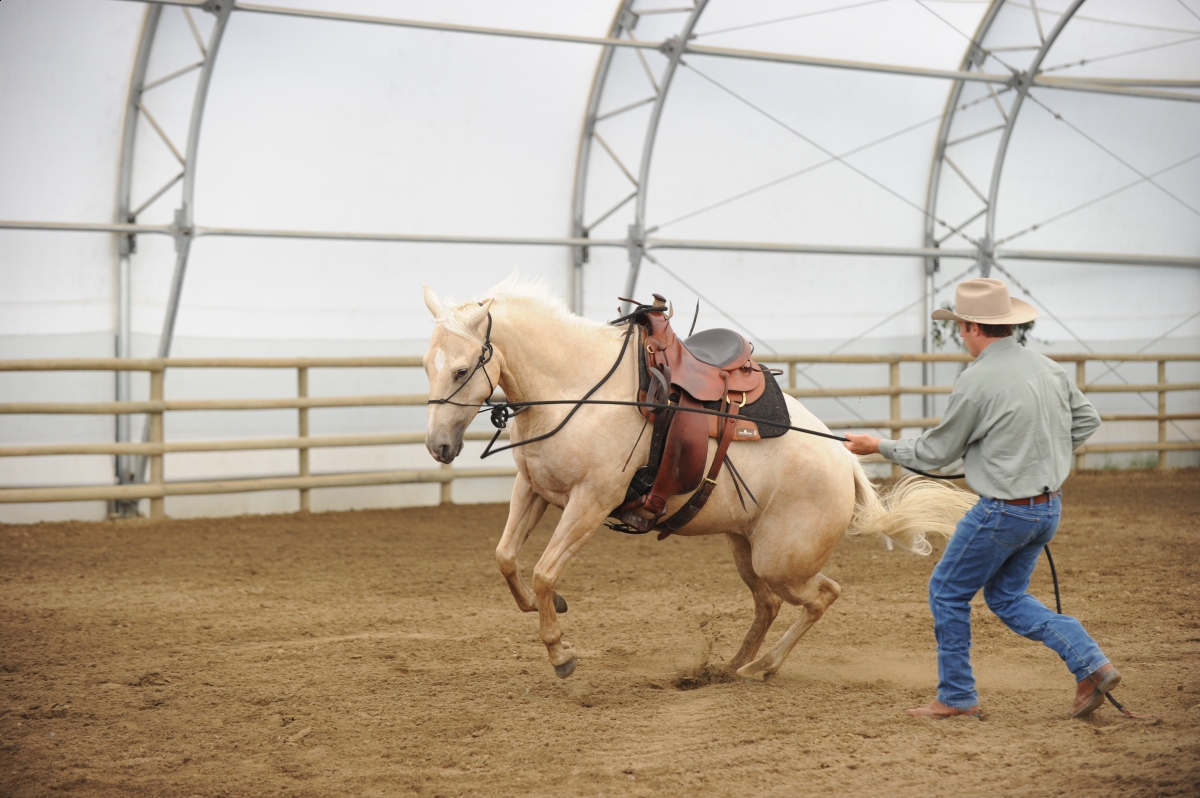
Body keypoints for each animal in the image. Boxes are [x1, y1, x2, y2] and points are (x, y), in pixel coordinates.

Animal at [421, 280, 974, 681]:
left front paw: (561, 654)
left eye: (462, 369)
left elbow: (542, 571)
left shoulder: (591, 501)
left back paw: (762, 666)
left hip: (781, 560)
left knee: (823, 595)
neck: (578, 388)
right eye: (427, 365)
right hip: (745, 546)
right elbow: (507, 558)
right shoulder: (535, 488)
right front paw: (549, 607)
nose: (438, 446)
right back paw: (729, 667)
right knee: (769, 603)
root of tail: (846, 462)